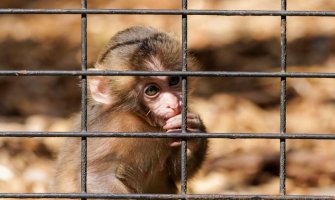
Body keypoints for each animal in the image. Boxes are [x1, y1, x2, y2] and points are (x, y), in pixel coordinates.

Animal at [52, 26, 207, 197]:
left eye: (174, 81)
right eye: (152, 90)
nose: (173, 104)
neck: (142, 120)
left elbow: (174, 171)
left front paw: (194, 131)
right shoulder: (117, 127)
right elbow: (93, 176)